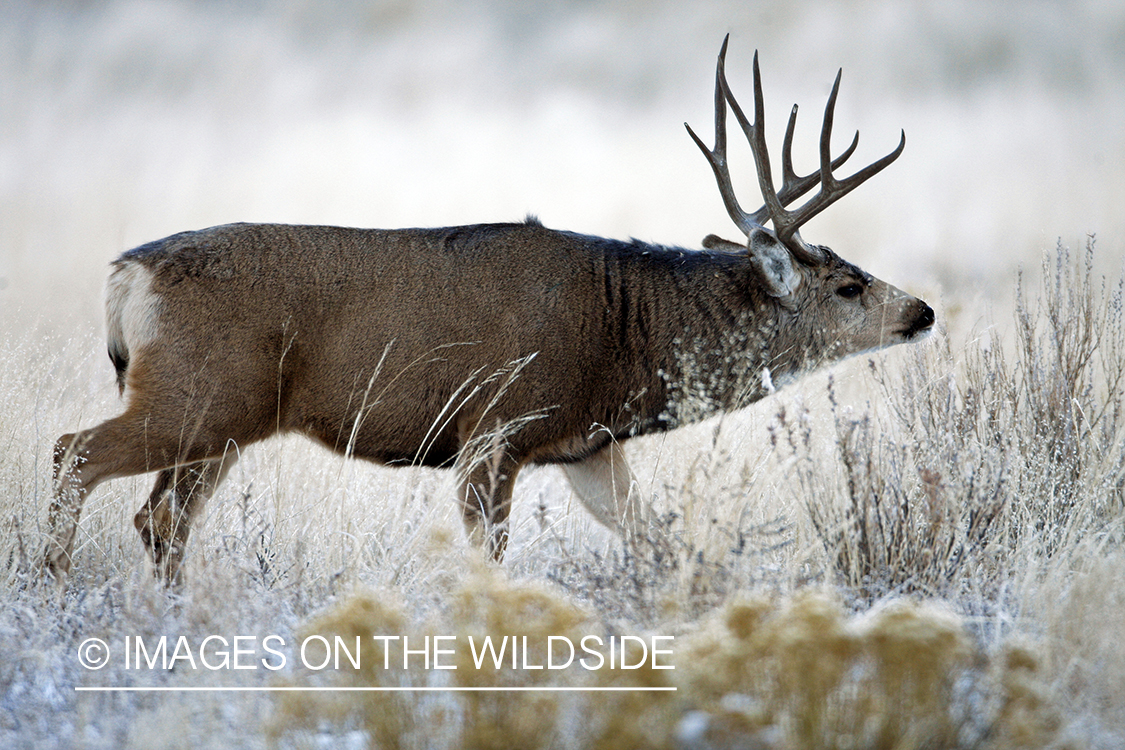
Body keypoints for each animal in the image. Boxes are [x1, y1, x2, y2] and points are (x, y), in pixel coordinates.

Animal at [43, 37, 933, 588]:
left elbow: (655, 536)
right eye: (848, 284)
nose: (922, 311)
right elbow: (491, 557)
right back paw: (53, 587)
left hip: (222, 420)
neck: (625, 331)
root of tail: (129, 272)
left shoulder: (585, 447)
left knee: (158, 517)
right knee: (74, 454)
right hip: (201, 392)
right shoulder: (494, 428)